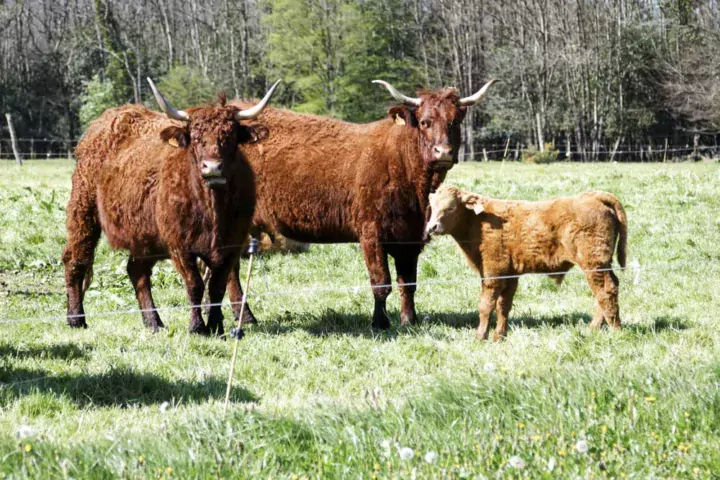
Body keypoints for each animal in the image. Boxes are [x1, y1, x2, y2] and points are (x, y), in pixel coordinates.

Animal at [62, 79, 280, 335]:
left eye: (230, 136)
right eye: (195, 137)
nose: (212, 167)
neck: (213, 208)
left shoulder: (231, 244)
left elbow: (217, 286)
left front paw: (216, 326)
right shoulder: (180, 245)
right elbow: (195, 284)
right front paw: (197, 327)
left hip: (143, 235)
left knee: (137, 271)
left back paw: (153, 322)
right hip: (83, 212)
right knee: (76, 259)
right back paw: (76, 318)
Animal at [227, 79, 498, 329]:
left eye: (455, 121)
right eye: (424, 122)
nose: (443, 152)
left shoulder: (411, 237)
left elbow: (408, 283)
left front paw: (409, 320)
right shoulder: (371, 231)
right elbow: (381, 282)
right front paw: (380, 322)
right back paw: (246, 317)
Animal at [425, 185, 628, 340]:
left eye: (451, 207)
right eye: (432, 207)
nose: (432, 227)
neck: (478, 221)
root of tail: (594, 196)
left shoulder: (493, 272)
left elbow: (486, 305)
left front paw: (481, 336)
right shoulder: (509, 275)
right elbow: (503, 305)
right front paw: (499, 336)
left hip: (593, 263)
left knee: (605, 291)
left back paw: (615, 330)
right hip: (602, 264)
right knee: (608, 288)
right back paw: (594, 328)